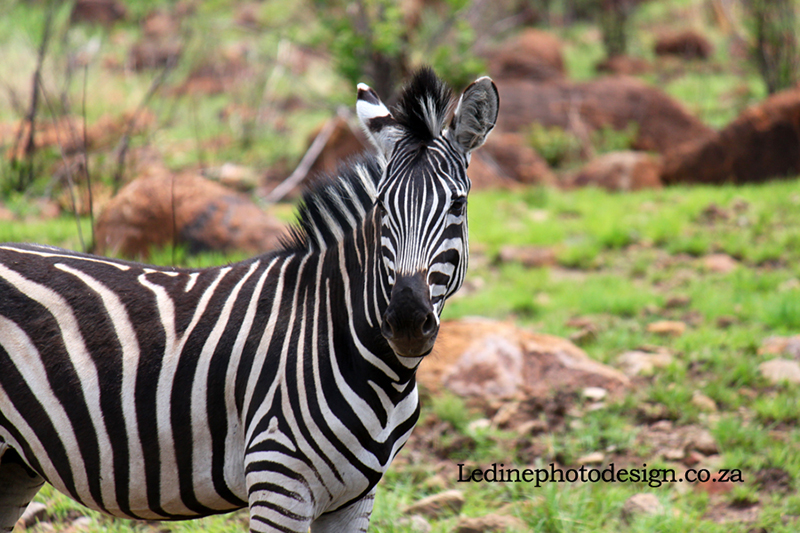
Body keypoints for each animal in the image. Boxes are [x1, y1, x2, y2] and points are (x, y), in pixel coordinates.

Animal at [0, 67, 498, 532]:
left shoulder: (356, 499)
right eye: (381, 208)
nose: (408, 322)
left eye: (457, 206)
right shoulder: (279, 479)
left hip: (15, 464)